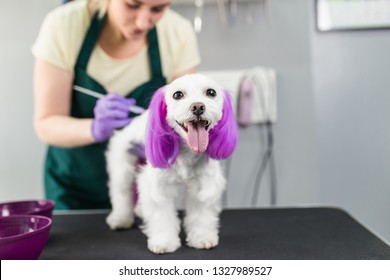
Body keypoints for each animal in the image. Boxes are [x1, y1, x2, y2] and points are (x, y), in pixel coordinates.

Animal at [105, 74, 238, 254]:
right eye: (178, 95)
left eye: (211, 92)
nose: (198, 106)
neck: (187, 150)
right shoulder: (158, 186)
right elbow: (161, 214)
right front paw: (164, 241)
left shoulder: (204, 184)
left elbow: (201, 213)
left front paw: (201, 237)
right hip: (122, 164)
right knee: (121, 192)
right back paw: (120, 219)